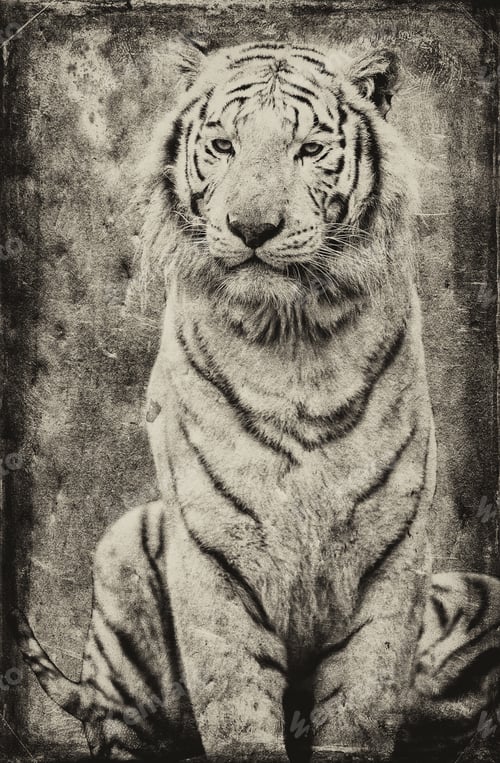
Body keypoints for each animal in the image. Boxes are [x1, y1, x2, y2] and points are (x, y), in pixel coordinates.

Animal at [12, 39, 497, 762]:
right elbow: (236, 703)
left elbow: (361, 706)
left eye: (309, 150)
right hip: (126, 549)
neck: (290, 343)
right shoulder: (213, 553)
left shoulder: (394, 556)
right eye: (222, 145)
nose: (252, 227)